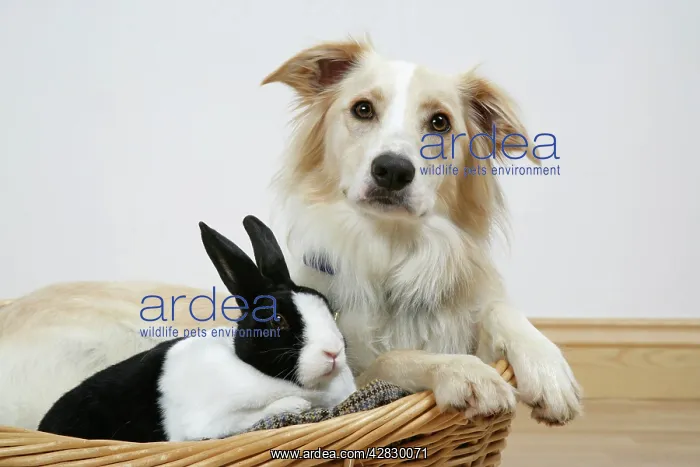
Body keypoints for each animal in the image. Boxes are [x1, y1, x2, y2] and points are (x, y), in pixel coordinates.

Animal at [37, 215, 357, 442]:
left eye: (327, 305)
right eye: (277, 321)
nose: (333, 352)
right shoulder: (211, 422)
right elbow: (257, 415)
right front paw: (296, 405)